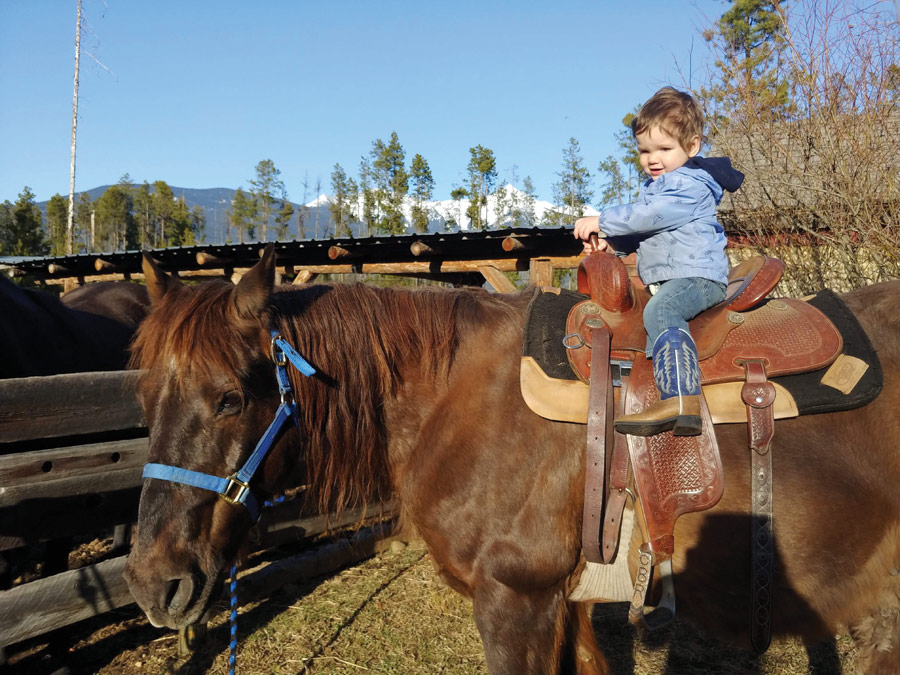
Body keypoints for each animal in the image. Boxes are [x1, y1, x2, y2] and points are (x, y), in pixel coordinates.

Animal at [123, 248, 900, 675]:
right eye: (143, 394)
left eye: (229, 397)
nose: (155, 583)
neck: (455, 392)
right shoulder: (566, 606)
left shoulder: (515, 603)